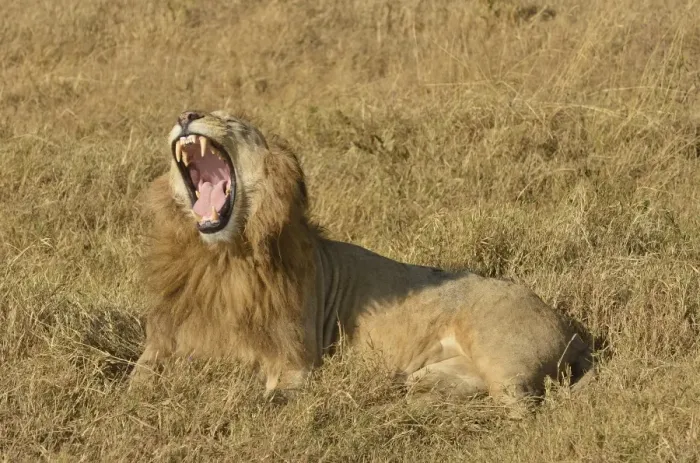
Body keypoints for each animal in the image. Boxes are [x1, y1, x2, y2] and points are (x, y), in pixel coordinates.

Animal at [130, 109, 593, 405]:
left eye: (231, 121)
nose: (186, 114)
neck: (221, 258)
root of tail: (572, 330)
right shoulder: (165, 341)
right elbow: (136, 380)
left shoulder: (296, 361)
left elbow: (263, 401)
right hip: (433, 376)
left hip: (500, 355)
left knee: (524, 408)